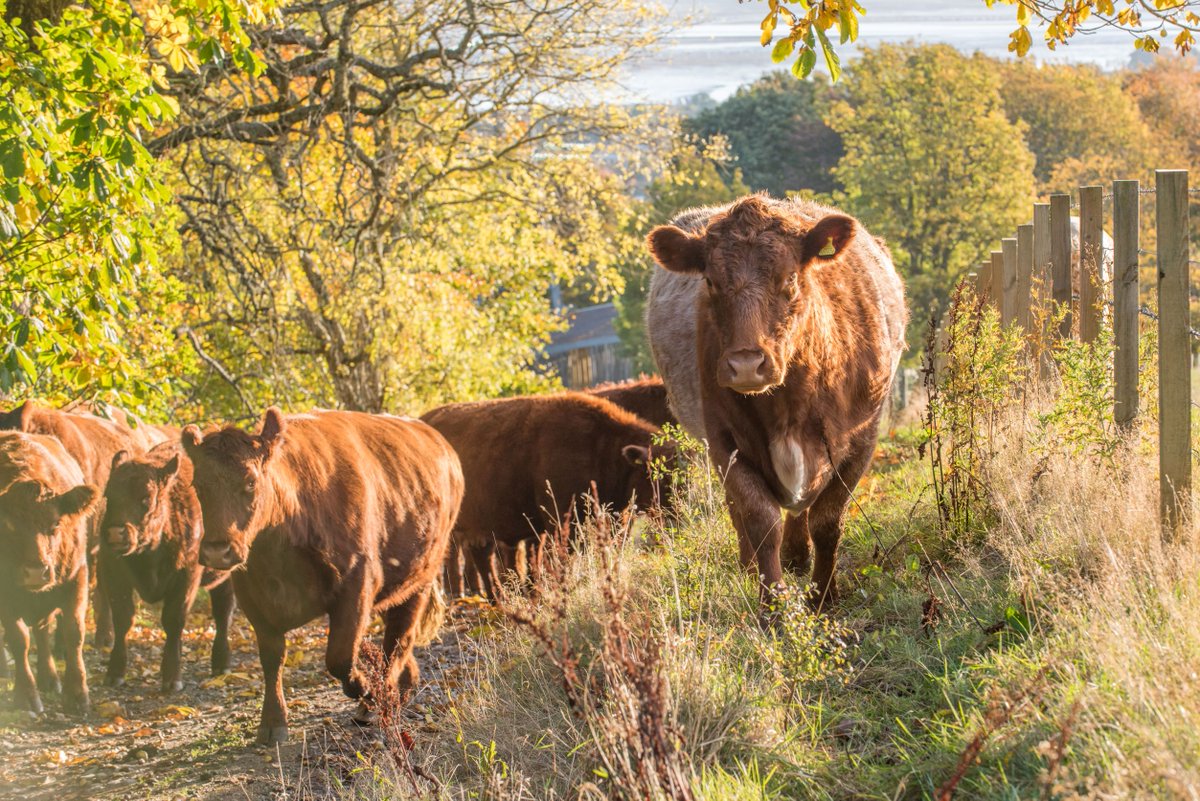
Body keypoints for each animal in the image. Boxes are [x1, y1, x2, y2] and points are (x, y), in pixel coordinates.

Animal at [99, 443, 235, 695]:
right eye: (108, 495)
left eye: (146, 498)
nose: (114, 533)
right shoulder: (114, 574)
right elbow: (123, 619)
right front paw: (114, 674)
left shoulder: (187, 577)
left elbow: (173, 621)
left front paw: (172, 680)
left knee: (224, 611)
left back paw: (221, 664)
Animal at [184, 410, 460, 748]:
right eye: (198, 484)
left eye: (250, 482)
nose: (216, 551)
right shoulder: (254, 600)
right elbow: (272, 658)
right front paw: (273, 723)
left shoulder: (356, 587)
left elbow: (339, 656)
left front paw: (366, 689)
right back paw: (403, 684)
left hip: (420, 580)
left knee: (398, 638)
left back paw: (376, 700)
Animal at [652, 195, 902, 618]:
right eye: (710, 281)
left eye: (788, 279)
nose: (745, 364)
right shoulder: (725, 441)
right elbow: (760, 520)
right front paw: (773, 607)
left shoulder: (862, 438)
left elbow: (826, 519)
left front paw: (823, 596)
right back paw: (753, 566)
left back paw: (798, 555)